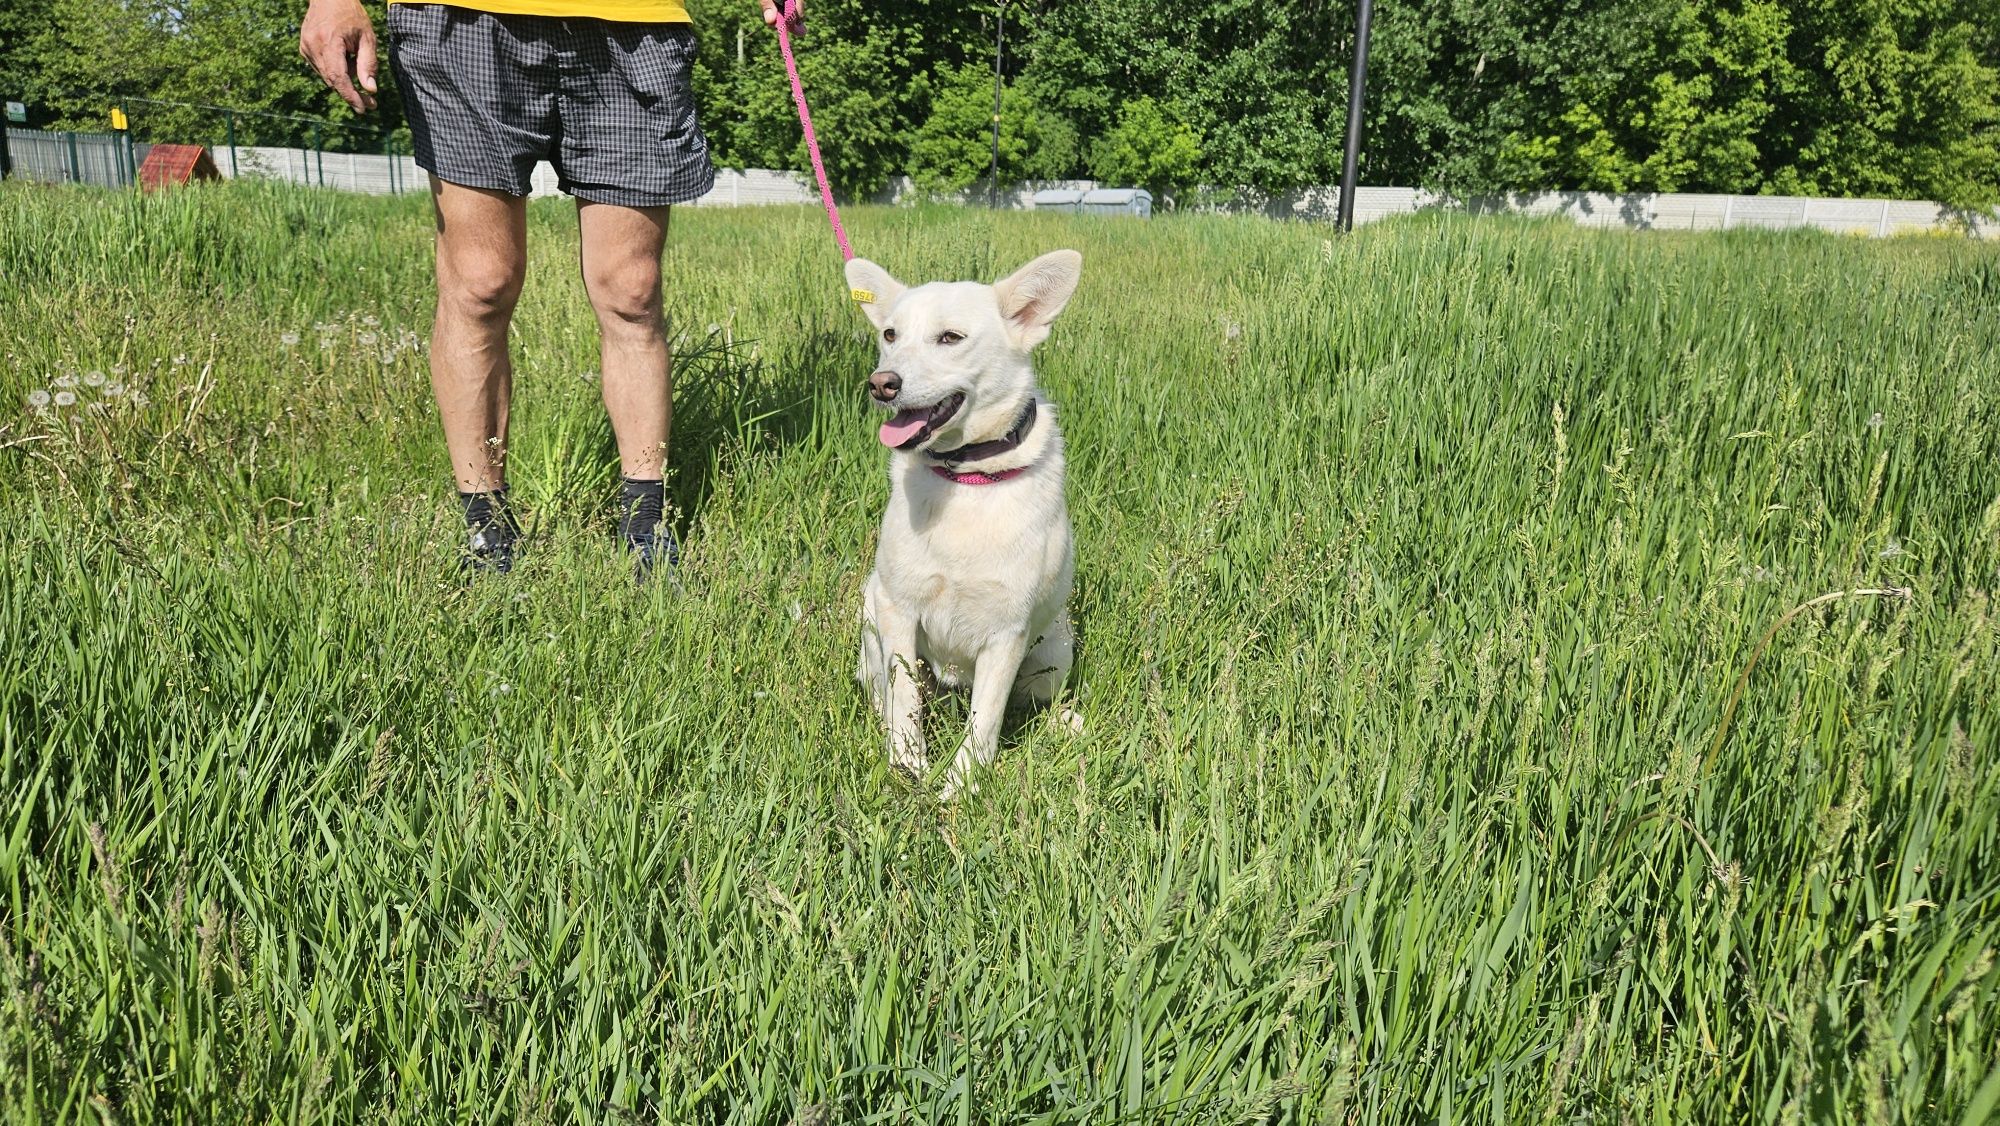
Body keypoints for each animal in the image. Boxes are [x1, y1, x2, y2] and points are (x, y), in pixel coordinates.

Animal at [852, 251, 1088, 796]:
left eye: (950, 338)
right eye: (890, 334)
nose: (882, 383)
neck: (965, 478)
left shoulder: (1006, 636)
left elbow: (987, 719)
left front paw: (961, 789)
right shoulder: (899, 611)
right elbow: (904, 698)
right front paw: (908, 765)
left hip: (1055, 652)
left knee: (1030, 703)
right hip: (870, 612)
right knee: (886, 689)